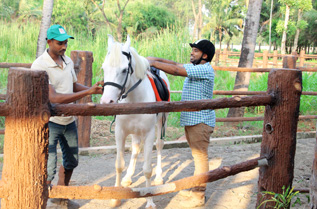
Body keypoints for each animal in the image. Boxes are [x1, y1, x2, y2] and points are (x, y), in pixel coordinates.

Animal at [100, 35, 169, 208]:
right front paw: (116, 197)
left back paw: (159, 177)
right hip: (135, 132)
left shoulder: (149, 134)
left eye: (125, 70)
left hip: (162, 122)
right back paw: (127, 178)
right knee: (136, 149)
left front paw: (149, 201)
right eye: (104, 68)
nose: (106, 101)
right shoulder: (120, 133)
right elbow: (119, 165)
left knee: (159, 145)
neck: (134, 99)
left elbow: (147, 170)